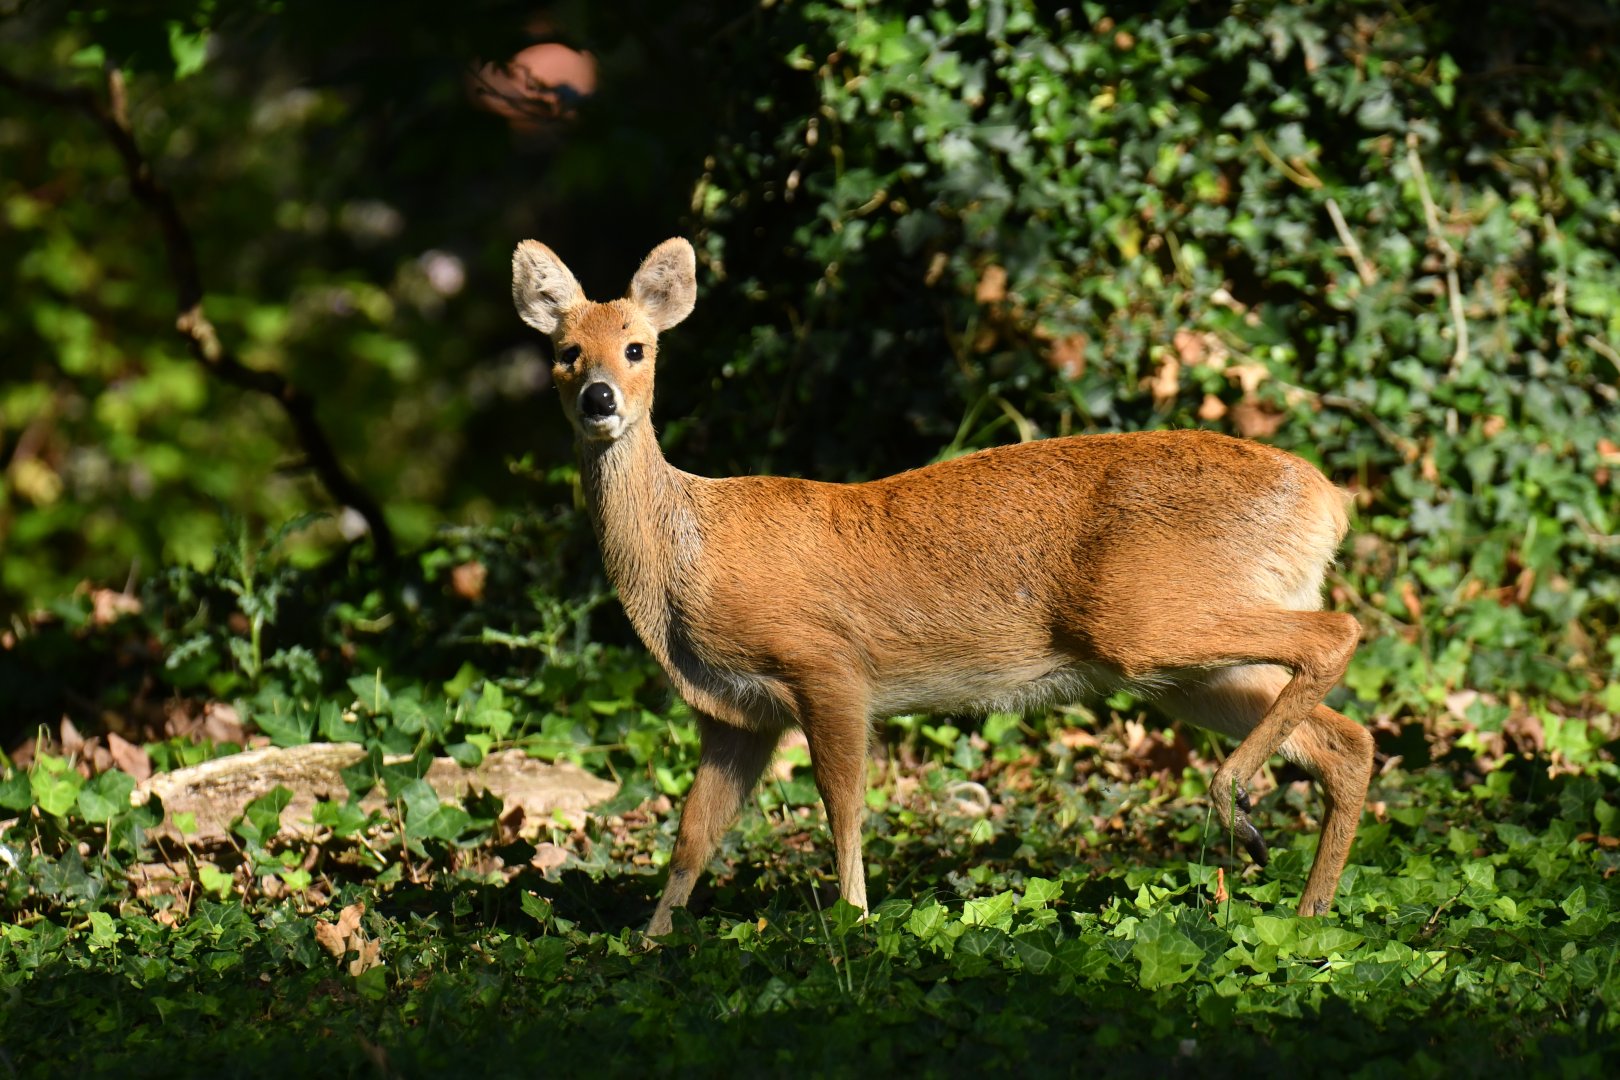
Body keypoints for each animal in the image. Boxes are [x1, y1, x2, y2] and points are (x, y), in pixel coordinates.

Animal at [511, 237, 1375, 936]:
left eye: (637, 347)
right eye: (564, 350)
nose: (598, 399)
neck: (684, 561)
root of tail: (1327, 500)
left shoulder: (826, 664)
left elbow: (844, 807)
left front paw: (856, 925)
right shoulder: (734, 716)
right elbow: (694, 836)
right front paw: (650, 942)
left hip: (1143, 620)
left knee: (1338, 635)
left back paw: (1235, 803)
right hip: (1184, 667)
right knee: (1348, 740)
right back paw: (1307, 913)